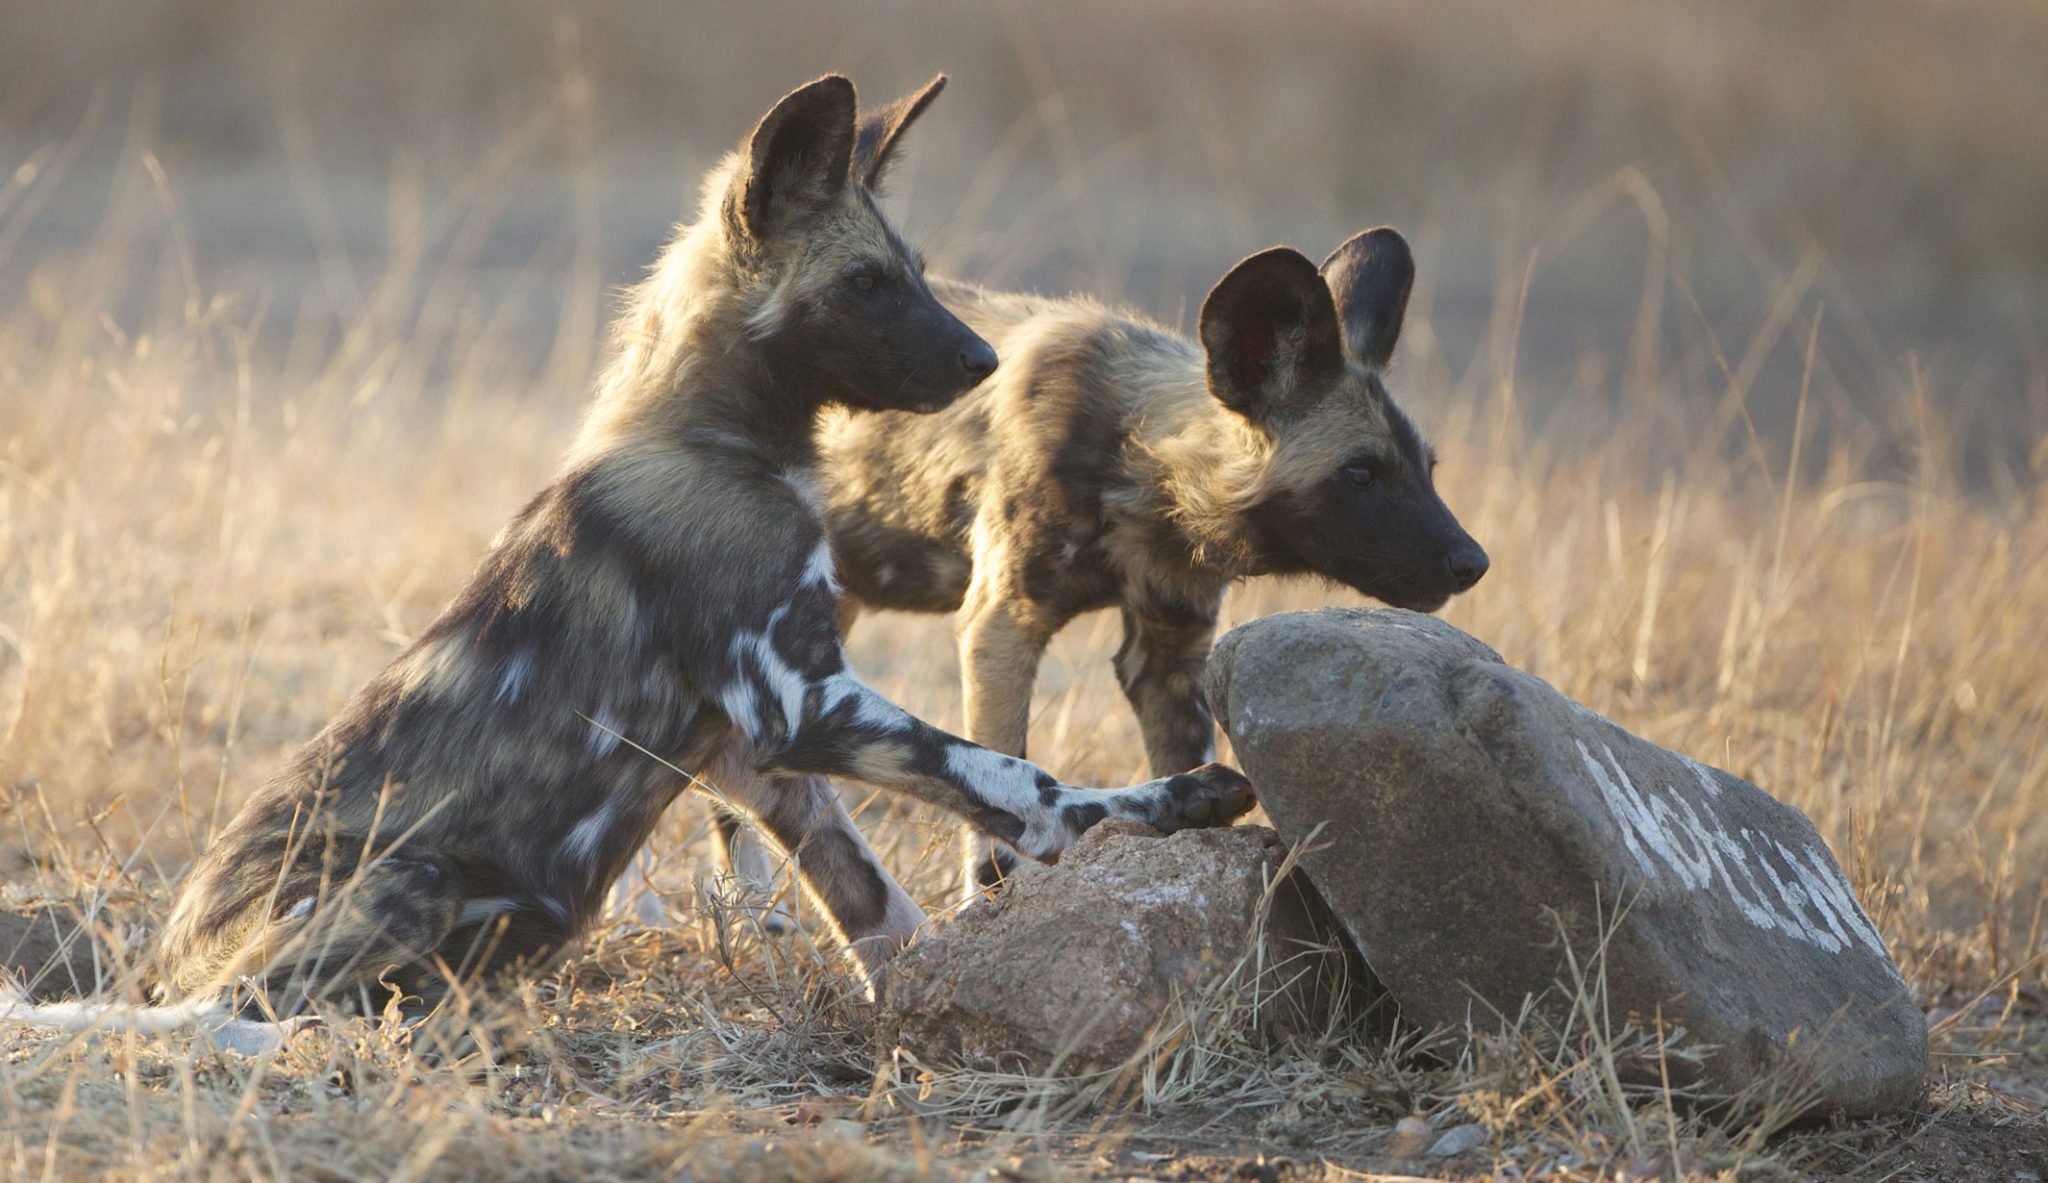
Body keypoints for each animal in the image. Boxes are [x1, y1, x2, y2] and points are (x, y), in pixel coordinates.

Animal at [0, 71, 1253, 1039]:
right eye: (867, 282)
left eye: (915, 272)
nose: (983, 362)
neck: (721, 437)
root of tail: (157, 964)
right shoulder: (802, 702)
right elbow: (1010, 779)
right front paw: (1156, 804)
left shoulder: (754, 756)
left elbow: (874, 900)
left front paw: (935, 990)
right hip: (401, 880)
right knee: (232, 1013)